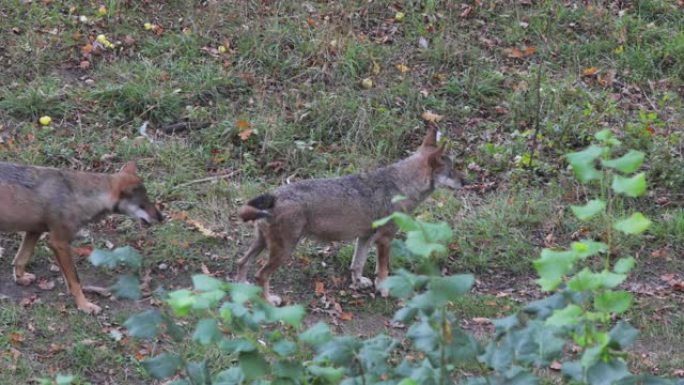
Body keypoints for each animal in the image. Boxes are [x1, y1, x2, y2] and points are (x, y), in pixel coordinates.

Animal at [0, 160, 163, 314]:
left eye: (148, 200)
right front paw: (84, 305)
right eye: (143, 203)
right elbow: (75, 281)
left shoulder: (35, 231)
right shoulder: (59, 242)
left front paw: (20, 279)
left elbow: (21, 259)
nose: (162, 217)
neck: (78, 196)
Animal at [238, 127, 468, 304]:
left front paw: (358, 283)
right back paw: (268, 301)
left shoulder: (365, 237)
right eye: (452, 170)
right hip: (283, 251)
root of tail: (274, 195)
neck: (402, 185)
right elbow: (383, 271)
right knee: (260, 275)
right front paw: (384, 290)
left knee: (242, 263)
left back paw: (242, 290)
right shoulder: (385, 239)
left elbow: (357, 264)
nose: (466, 181)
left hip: (263, 244)